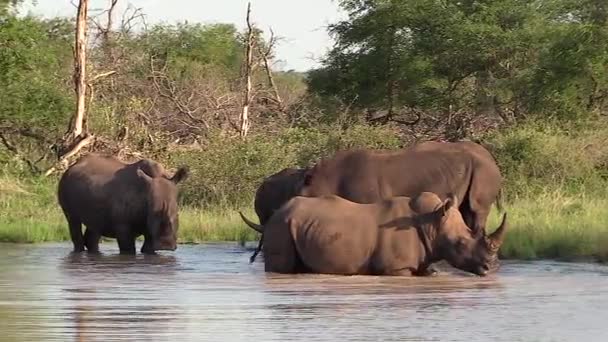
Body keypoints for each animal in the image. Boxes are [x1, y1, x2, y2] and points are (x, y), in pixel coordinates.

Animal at [57, 154, 190, 255]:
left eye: (177, 215)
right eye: (152, 214)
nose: (165, 246)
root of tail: (71, 166)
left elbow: (148, 248)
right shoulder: (122, 225)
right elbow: (128, 250)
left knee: (95, 226)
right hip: (64, 183)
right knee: (73, 220)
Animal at [245, 192, 506, 276]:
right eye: (461, 244)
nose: (490, 268)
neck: (432, 223)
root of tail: (276, 214)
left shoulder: (422, 261)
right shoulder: (396, 269)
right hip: (281, 226)